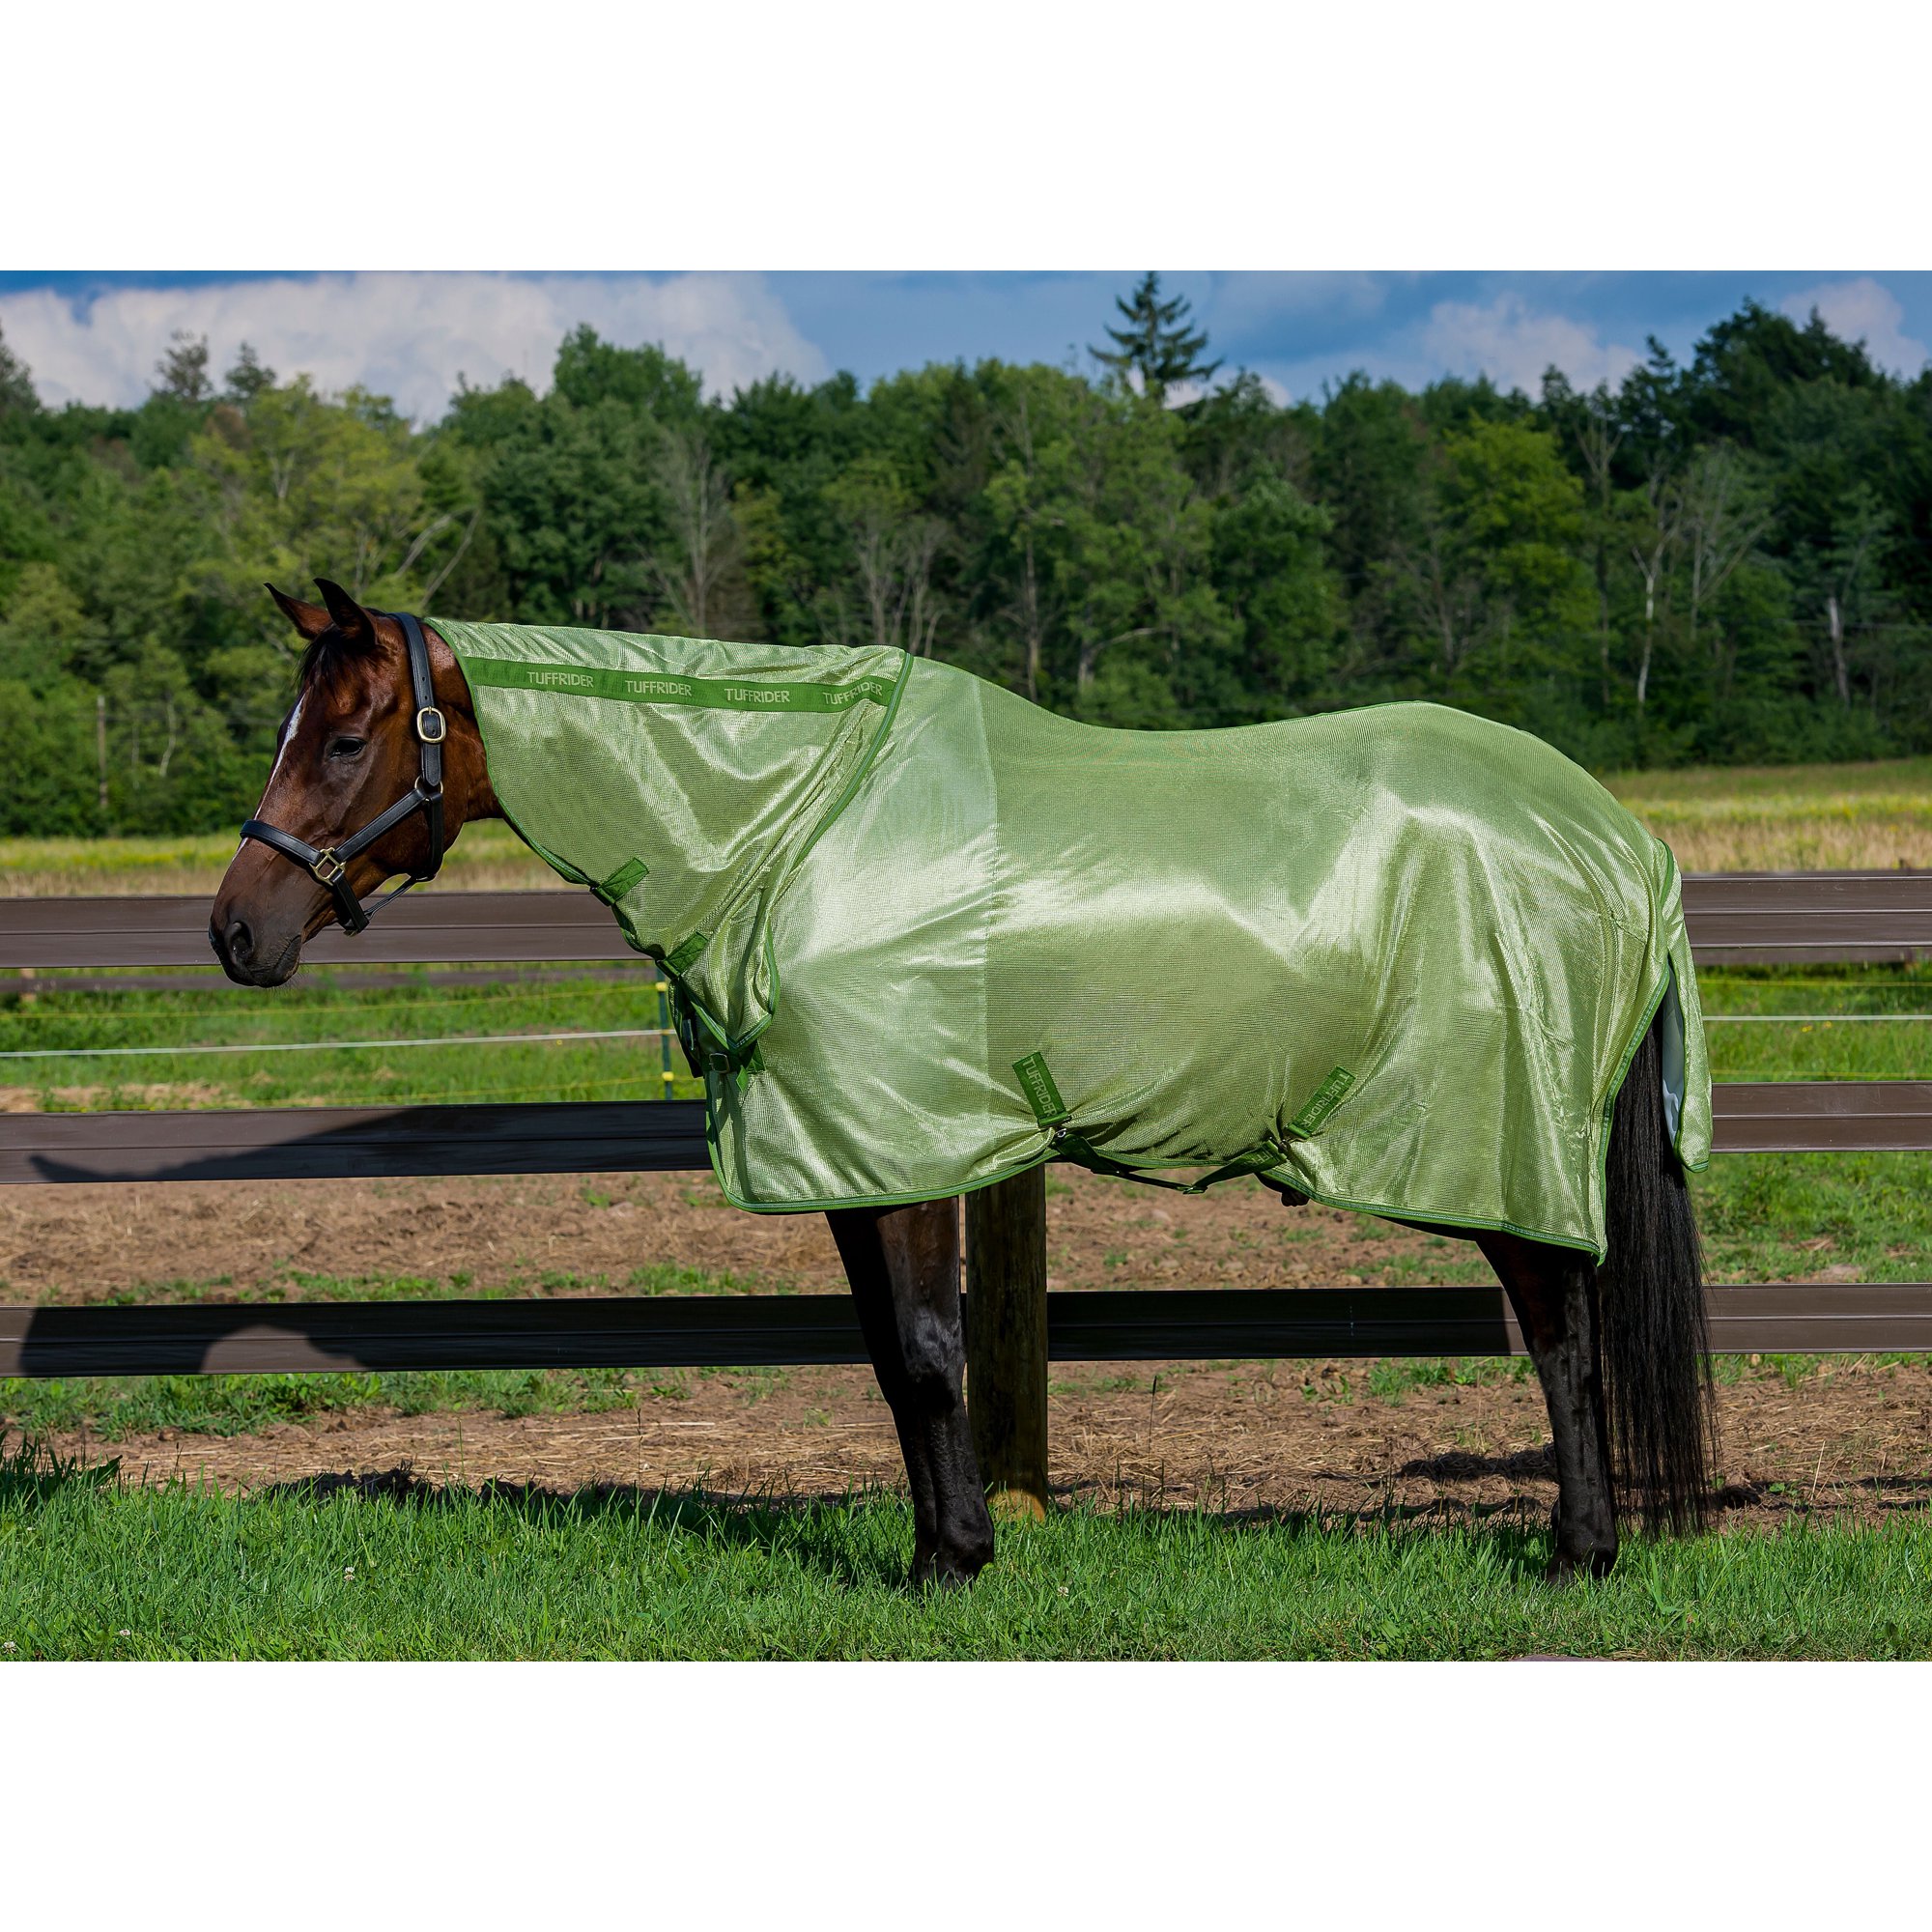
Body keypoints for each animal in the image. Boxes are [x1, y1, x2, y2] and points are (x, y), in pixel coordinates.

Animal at [211, 579, 1718, 1586]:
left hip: (1501, 1139)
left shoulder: (903, 1139)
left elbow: (933, 1355)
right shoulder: (857, 1153)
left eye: (342, 738)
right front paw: (946, 1545)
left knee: (1565, 1334)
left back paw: (1580, 1555)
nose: (236, 931)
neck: (797, 825)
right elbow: (892, 1361)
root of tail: (1620, 836)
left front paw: (953, 1564)